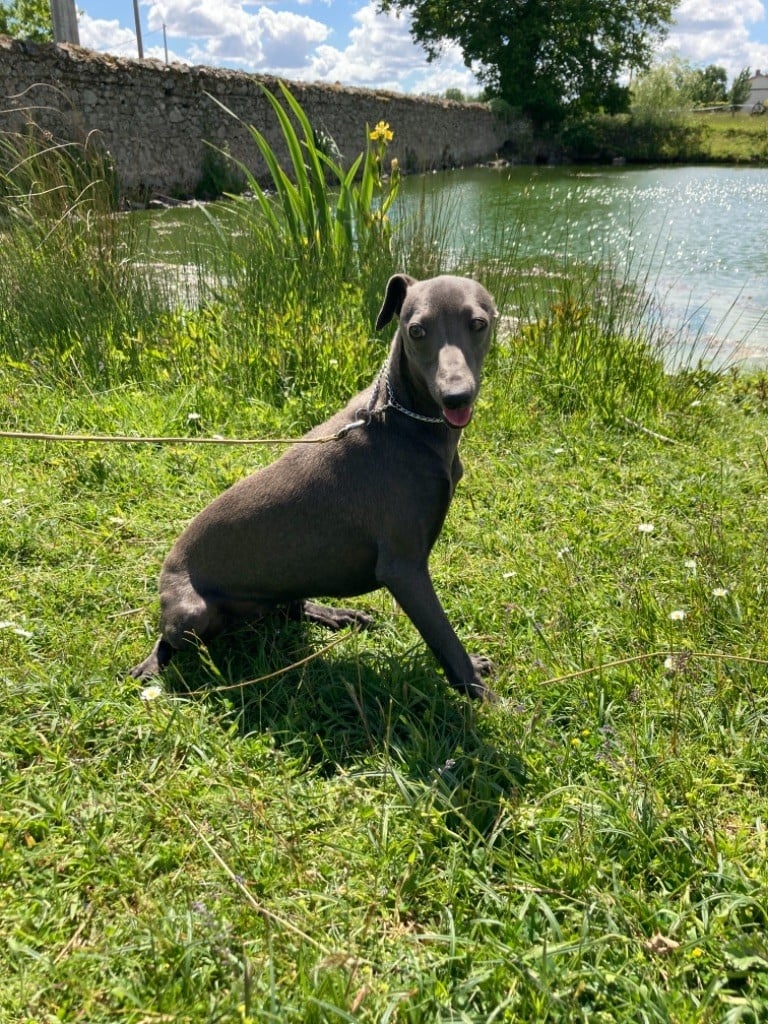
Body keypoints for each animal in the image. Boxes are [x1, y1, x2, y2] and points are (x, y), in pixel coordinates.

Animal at [132, 276, 499, 700]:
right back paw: (151, 665)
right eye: (416, 330)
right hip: (191, 613)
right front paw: (484, 698)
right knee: (171, 639)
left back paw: (336, 614)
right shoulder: (404, 568)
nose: (456, 396)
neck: (402, 421)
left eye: (478, 323)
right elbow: (445, 640)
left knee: (290, 607)